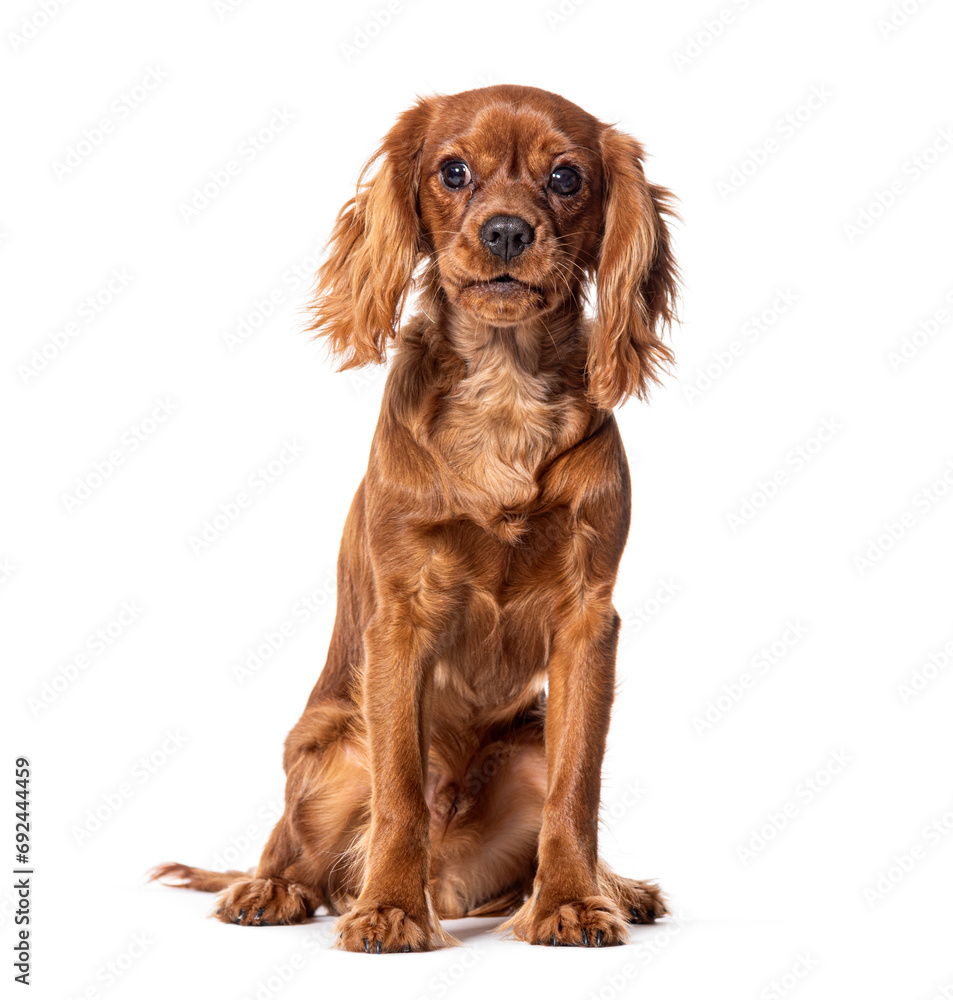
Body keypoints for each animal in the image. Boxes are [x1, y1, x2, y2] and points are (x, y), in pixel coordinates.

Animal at [151, 84, 676, 952]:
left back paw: (611, 888)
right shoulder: (400, 621)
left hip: (525, 741)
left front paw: (572, 902)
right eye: (452, 171)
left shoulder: (587, 621)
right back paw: (270, 890)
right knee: (298, 850)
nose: (506, 231)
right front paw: (390, 909)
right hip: (334, 748)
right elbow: (399, 792)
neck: (503, 389)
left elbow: (577, 788)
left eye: (565, 178)